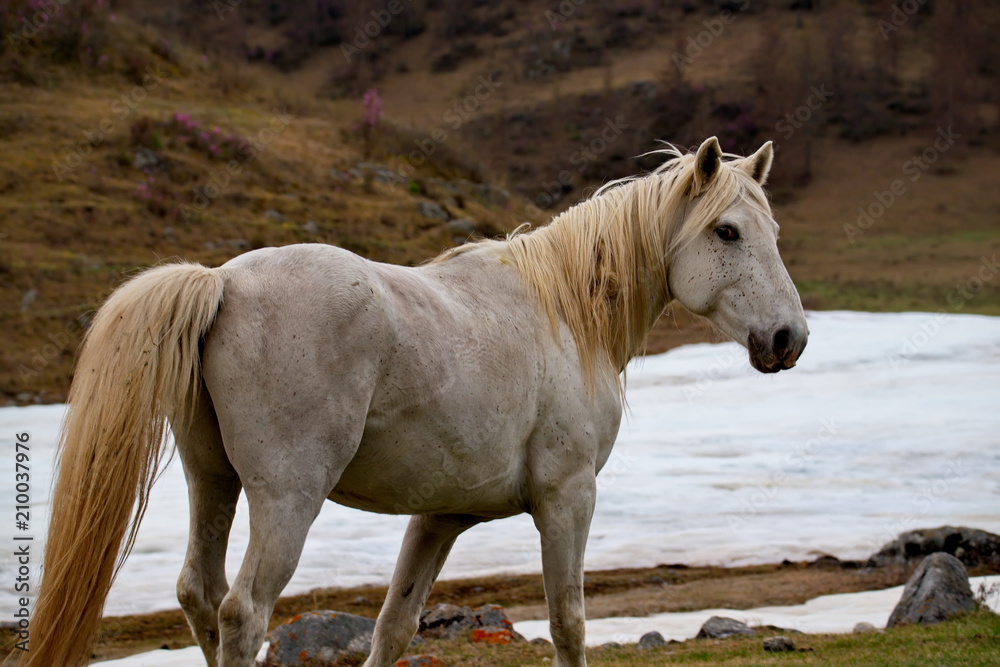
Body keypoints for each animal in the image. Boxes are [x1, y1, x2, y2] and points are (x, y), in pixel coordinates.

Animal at [25, 137, 804, 667]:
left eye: (771, 231)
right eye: (727, 231)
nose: (788, 338)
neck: (566, 313)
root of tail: (223, 283)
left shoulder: (439, 516)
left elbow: (394, 626)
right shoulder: (568, 497)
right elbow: (569, 623)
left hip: (211, 480)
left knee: (198, 592)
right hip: (286, 497)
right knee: (242, 610)